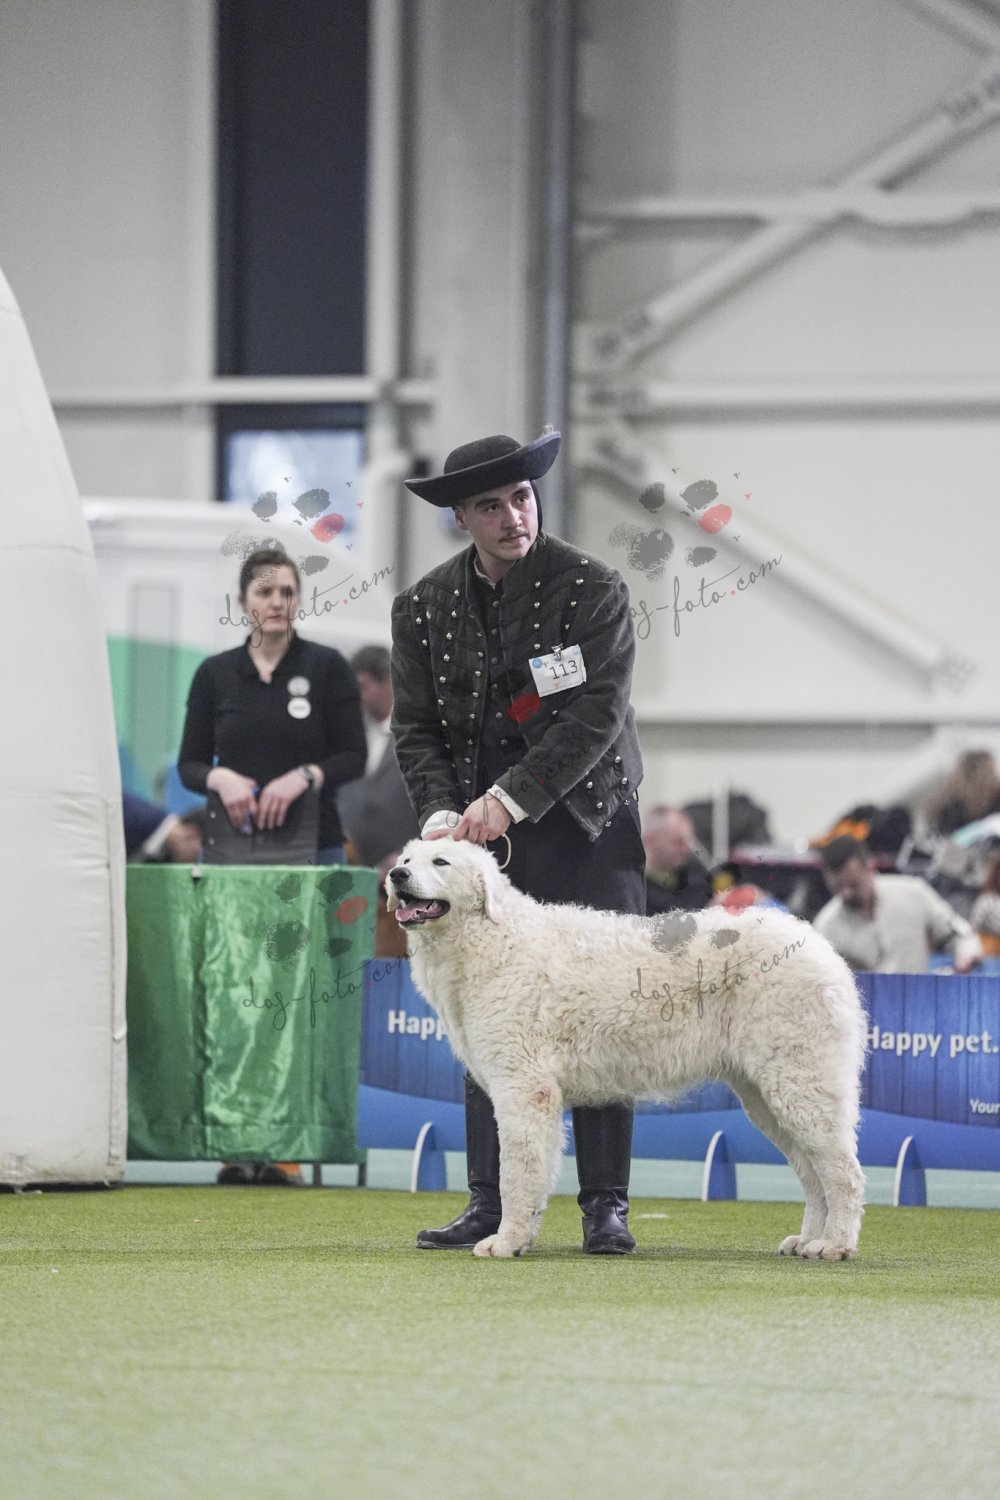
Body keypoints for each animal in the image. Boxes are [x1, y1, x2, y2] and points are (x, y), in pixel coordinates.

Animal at [386, 838, 866, 1261]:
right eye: (408, 859)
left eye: (441, 862)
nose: (396, 875)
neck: (494, 938)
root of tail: (821, 948)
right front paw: (515, 1237)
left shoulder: (523, 1089)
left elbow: (516, 1175)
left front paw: (507, 1242)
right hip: (767, 1096)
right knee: (814, 1175)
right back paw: (807, 1241)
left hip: (799, 1085)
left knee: (843, 1173)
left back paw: (834, 1245)